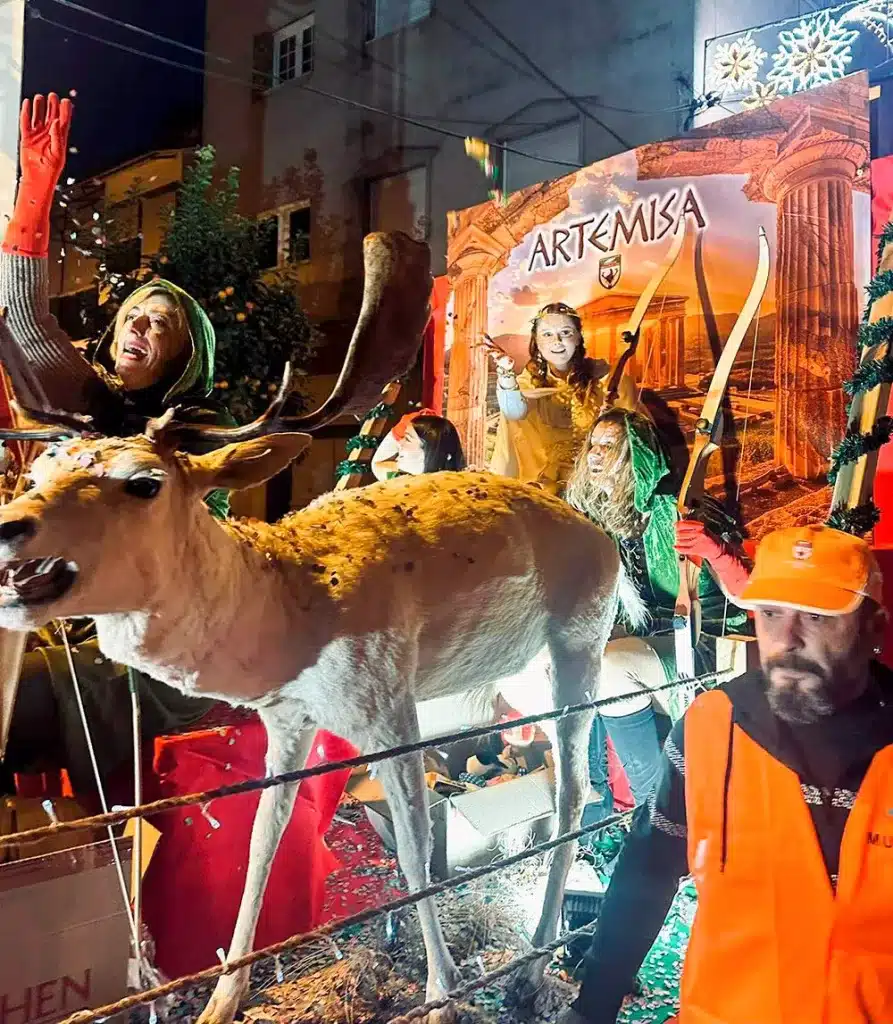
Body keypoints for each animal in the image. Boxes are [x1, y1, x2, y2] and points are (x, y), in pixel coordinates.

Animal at [0, 232, 634, 1024]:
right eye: (40, 470)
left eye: (144, 482)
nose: (10, 525)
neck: (290, 609)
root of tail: (607, 542)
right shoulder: (288, 721)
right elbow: (262, 841)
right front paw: (221, 998)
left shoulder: (390, 708)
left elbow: (416, 848)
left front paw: (442, 996)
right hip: (514, 679)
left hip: (577, 650)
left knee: (574, 790)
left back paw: (535, 965)